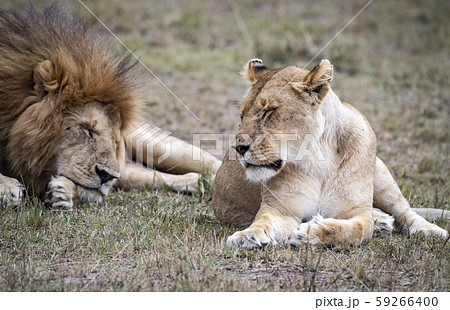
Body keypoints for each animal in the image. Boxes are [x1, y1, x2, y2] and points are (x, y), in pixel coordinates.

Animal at [213, 57, 448, 247]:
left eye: (268, 111)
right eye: (242, 115)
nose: (239, 148)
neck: (319, 157)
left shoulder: (357, 214)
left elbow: (351, 230)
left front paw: (308, 233)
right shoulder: (280, 209)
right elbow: (263, 221)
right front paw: (247, 236)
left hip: (382, 175)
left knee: (405, 211)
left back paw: (429, 230)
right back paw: (382, 221)